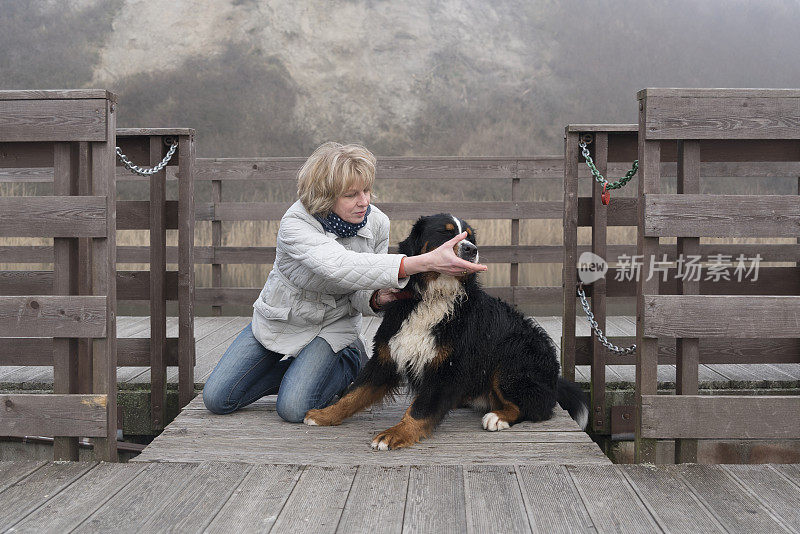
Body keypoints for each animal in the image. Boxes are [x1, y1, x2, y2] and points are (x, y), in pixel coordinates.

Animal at [302, 214, 588, 452]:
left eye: (470, 237)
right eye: (446, 233)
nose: (471, 250)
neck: (434, 297)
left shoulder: (446, 366)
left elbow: (419, 409)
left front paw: (394, 434)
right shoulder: (387, 356)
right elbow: (354, 393)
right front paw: (324, 415)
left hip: (512, 361)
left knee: (540, 404)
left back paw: (498, 417)